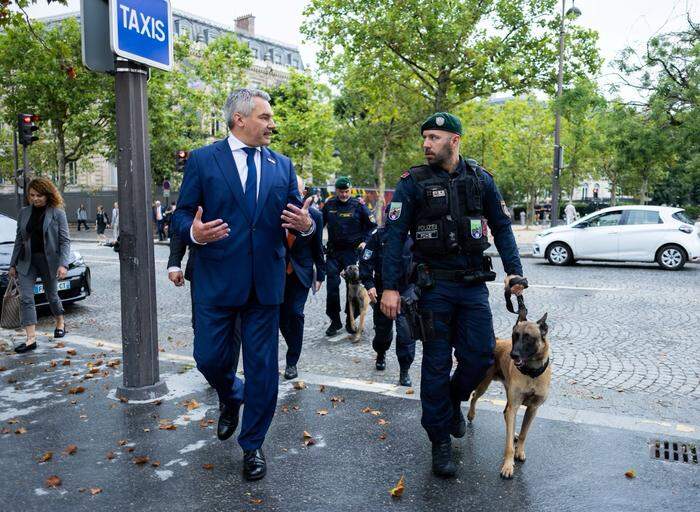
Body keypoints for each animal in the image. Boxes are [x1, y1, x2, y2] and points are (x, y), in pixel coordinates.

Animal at [464, 308, 552, 480]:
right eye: (515, 335)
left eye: (528, 338)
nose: (513, 355)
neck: (531, 373)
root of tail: (497, 340)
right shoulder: (515, 406)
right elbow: (509, 446)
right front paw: (507, 466)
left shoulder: (532, 409)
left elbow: (524, 433)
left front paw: (520, 450)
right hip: (484, 384)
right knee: (474, 396)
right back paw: (471, 414)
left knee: (505, 412)